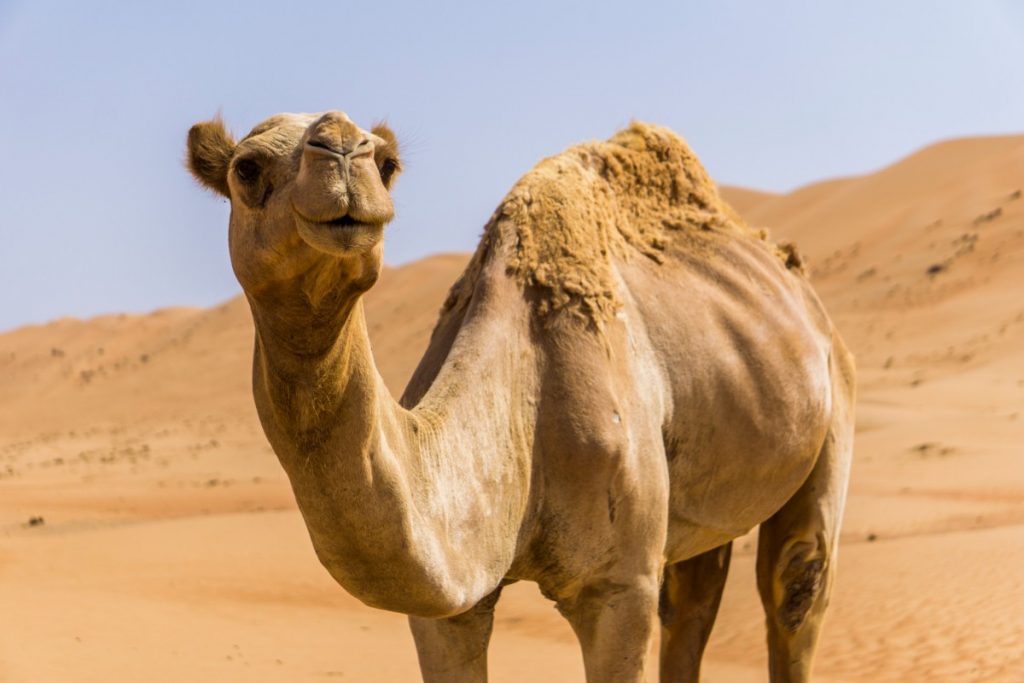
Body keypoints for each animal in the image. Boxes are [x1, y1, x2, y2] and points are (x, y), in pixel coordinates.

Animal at [186, 109, 856, 679]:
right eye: (246, 169)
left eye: (388, 164)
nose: (343, 146)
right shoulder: (448, 604)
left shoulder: (618, 586)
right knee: (694, 596)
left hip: (835, 392)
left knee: (797, 581)